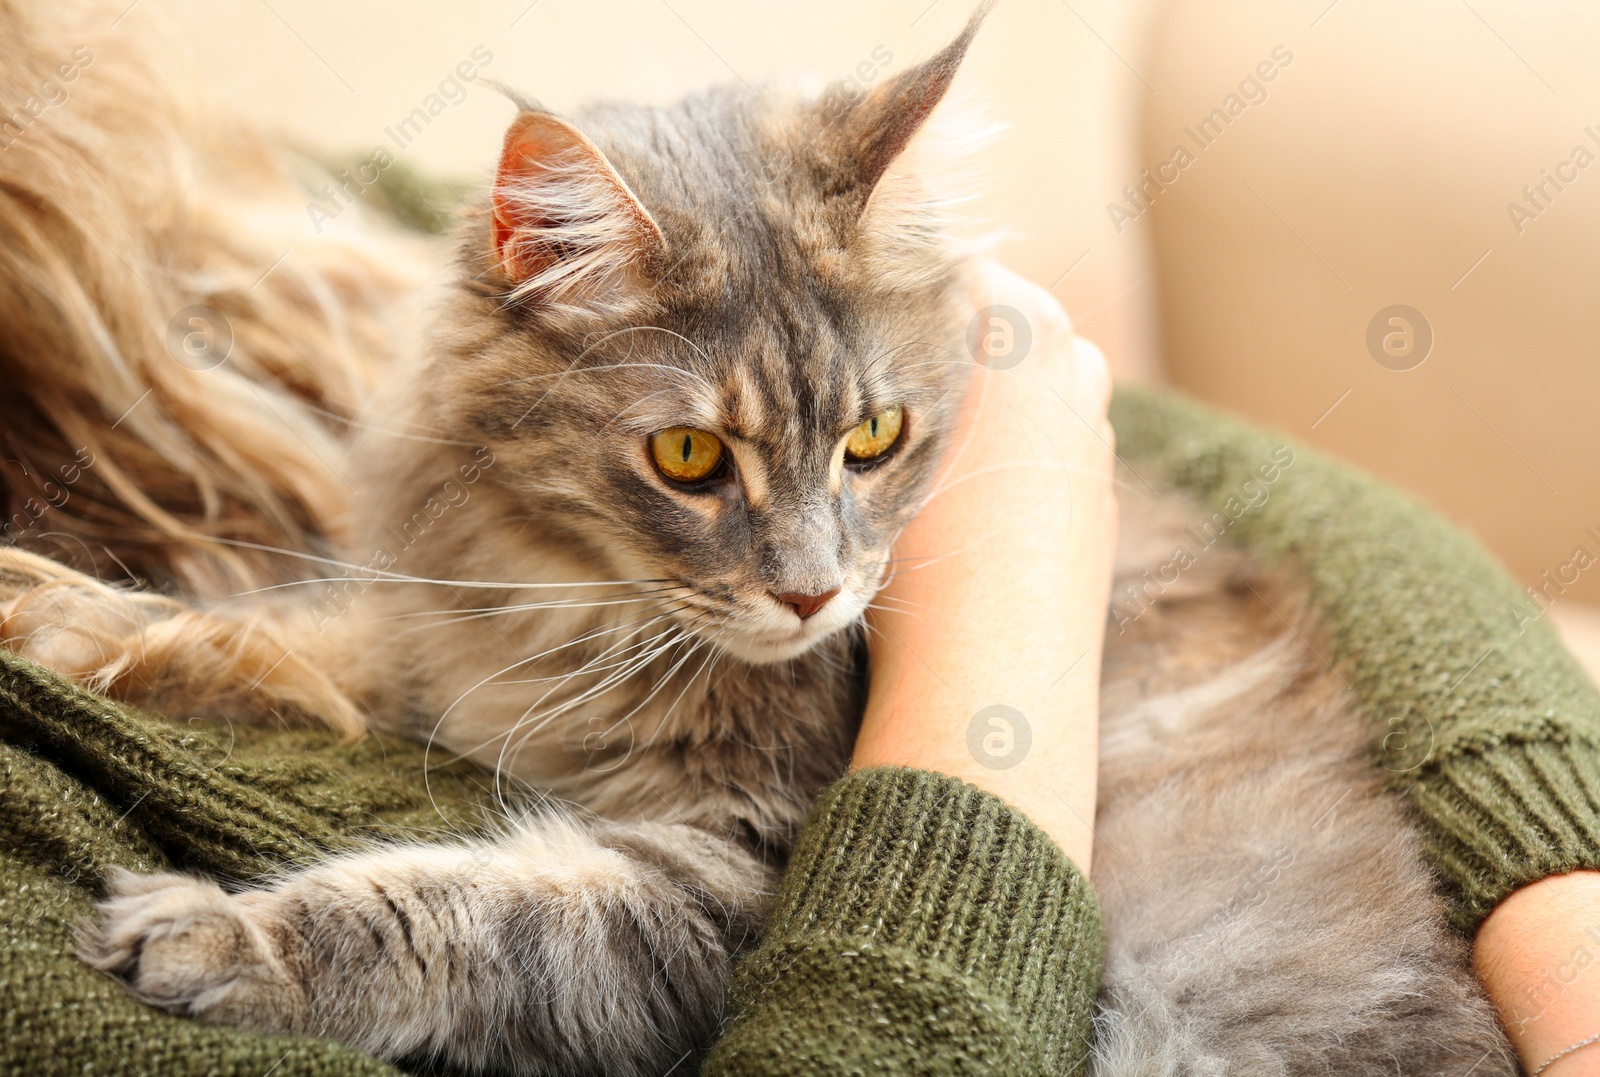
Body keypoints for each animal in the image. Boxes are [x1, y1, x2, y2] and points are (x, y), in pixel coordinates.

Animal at [0, 8, 1516, 1075]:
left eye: (874, 439)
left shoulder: (732, 879)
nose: (811, 597)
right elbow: (303, 631)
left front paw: (216, 932)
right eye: (688, 457)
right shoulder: (460, 633)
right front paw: (64, 619)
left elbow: (462, 911)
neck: (576, 602)